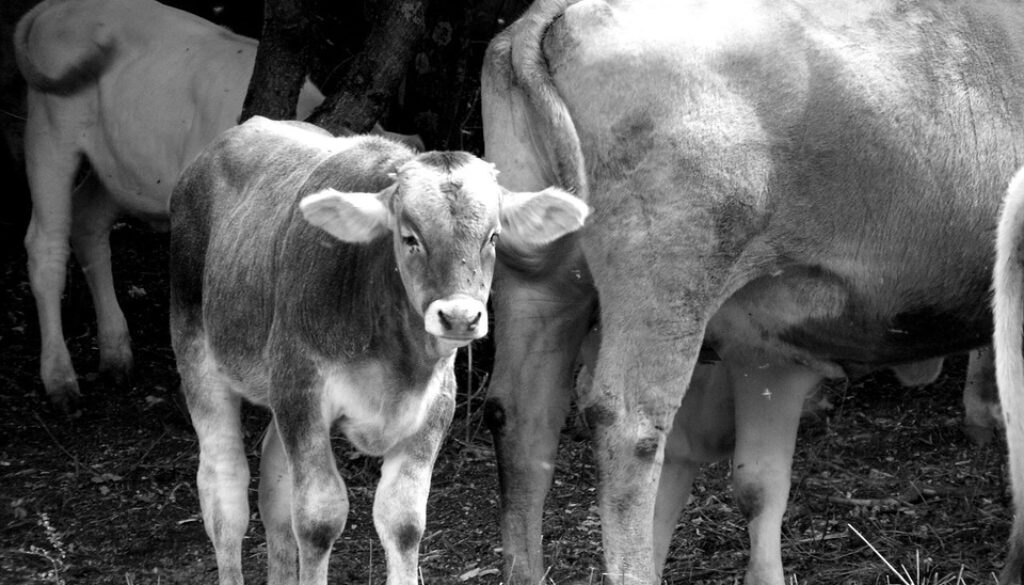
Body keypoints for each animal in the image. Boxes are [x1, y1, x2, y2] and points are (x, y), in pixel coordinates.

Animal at [14, 0, 326, 411]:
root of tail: (56, 6)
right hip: (51, 133)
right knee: (45, 245)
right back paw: (59, 378)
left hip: (120, 167)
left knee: (87, 223)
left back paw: (116, 354)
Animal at [168, 116, 586, 585]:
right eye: (409, 237)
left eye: (493, 237)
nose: (459, 317)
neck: (396, 360)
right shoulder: (301, 389)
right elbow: (318, 518)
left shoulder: (436, 406)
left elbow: (402, 521)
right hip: (196, 348)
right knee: (224, 491)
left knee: (274, 486)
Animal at [480, 1, 1024, 584]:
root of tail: (560, 11)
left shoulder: (766, 356)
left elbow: (759, 483)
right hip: (667, 287)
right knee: (628, 427)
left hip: (539, 290)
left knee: (520, 419)